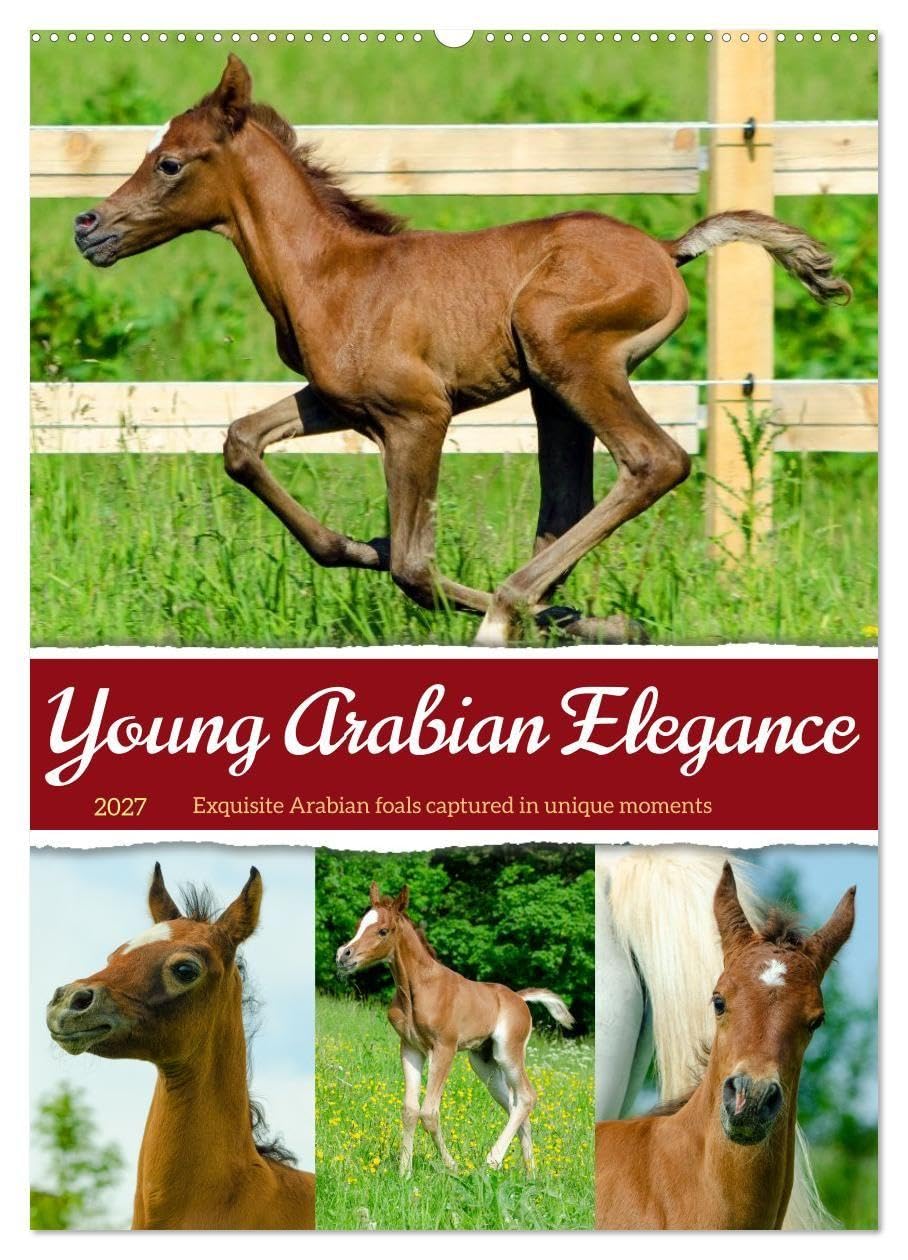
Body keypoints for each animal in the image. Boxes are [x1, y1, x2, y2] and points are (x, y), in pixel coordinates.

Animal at [72, 55, 852, 646]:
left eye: (169, 163)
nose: (89, 226)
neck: (332, 274)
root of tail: (667, 249)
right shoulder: (339, 402)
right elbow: (242, 444)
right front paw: (358, 544)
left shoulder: (417, 414)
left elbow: (414, 568)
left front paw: (449, 585)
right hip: (551, 392)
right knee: (566, 504)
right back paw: (567, 613)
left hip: (570, 359)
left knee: (653, 461)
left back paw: (514, 611)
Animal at [335, 883, 574, 1175]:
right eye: (359, 925)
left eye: (383, 930)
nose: (343, 955)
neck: (417, 989)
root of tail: (519, 998)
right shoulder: (411, 1048)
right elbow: (410, 1110)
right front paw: (404, 1173)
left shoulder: (444, 1048)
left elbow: (429, 1112)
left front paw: (452, 1166)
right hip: (484, 1063)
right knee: (516, 1105)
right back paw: (531, 1174)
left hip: (508, 1053)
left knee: (527, 1097)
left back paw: (493, 1160)